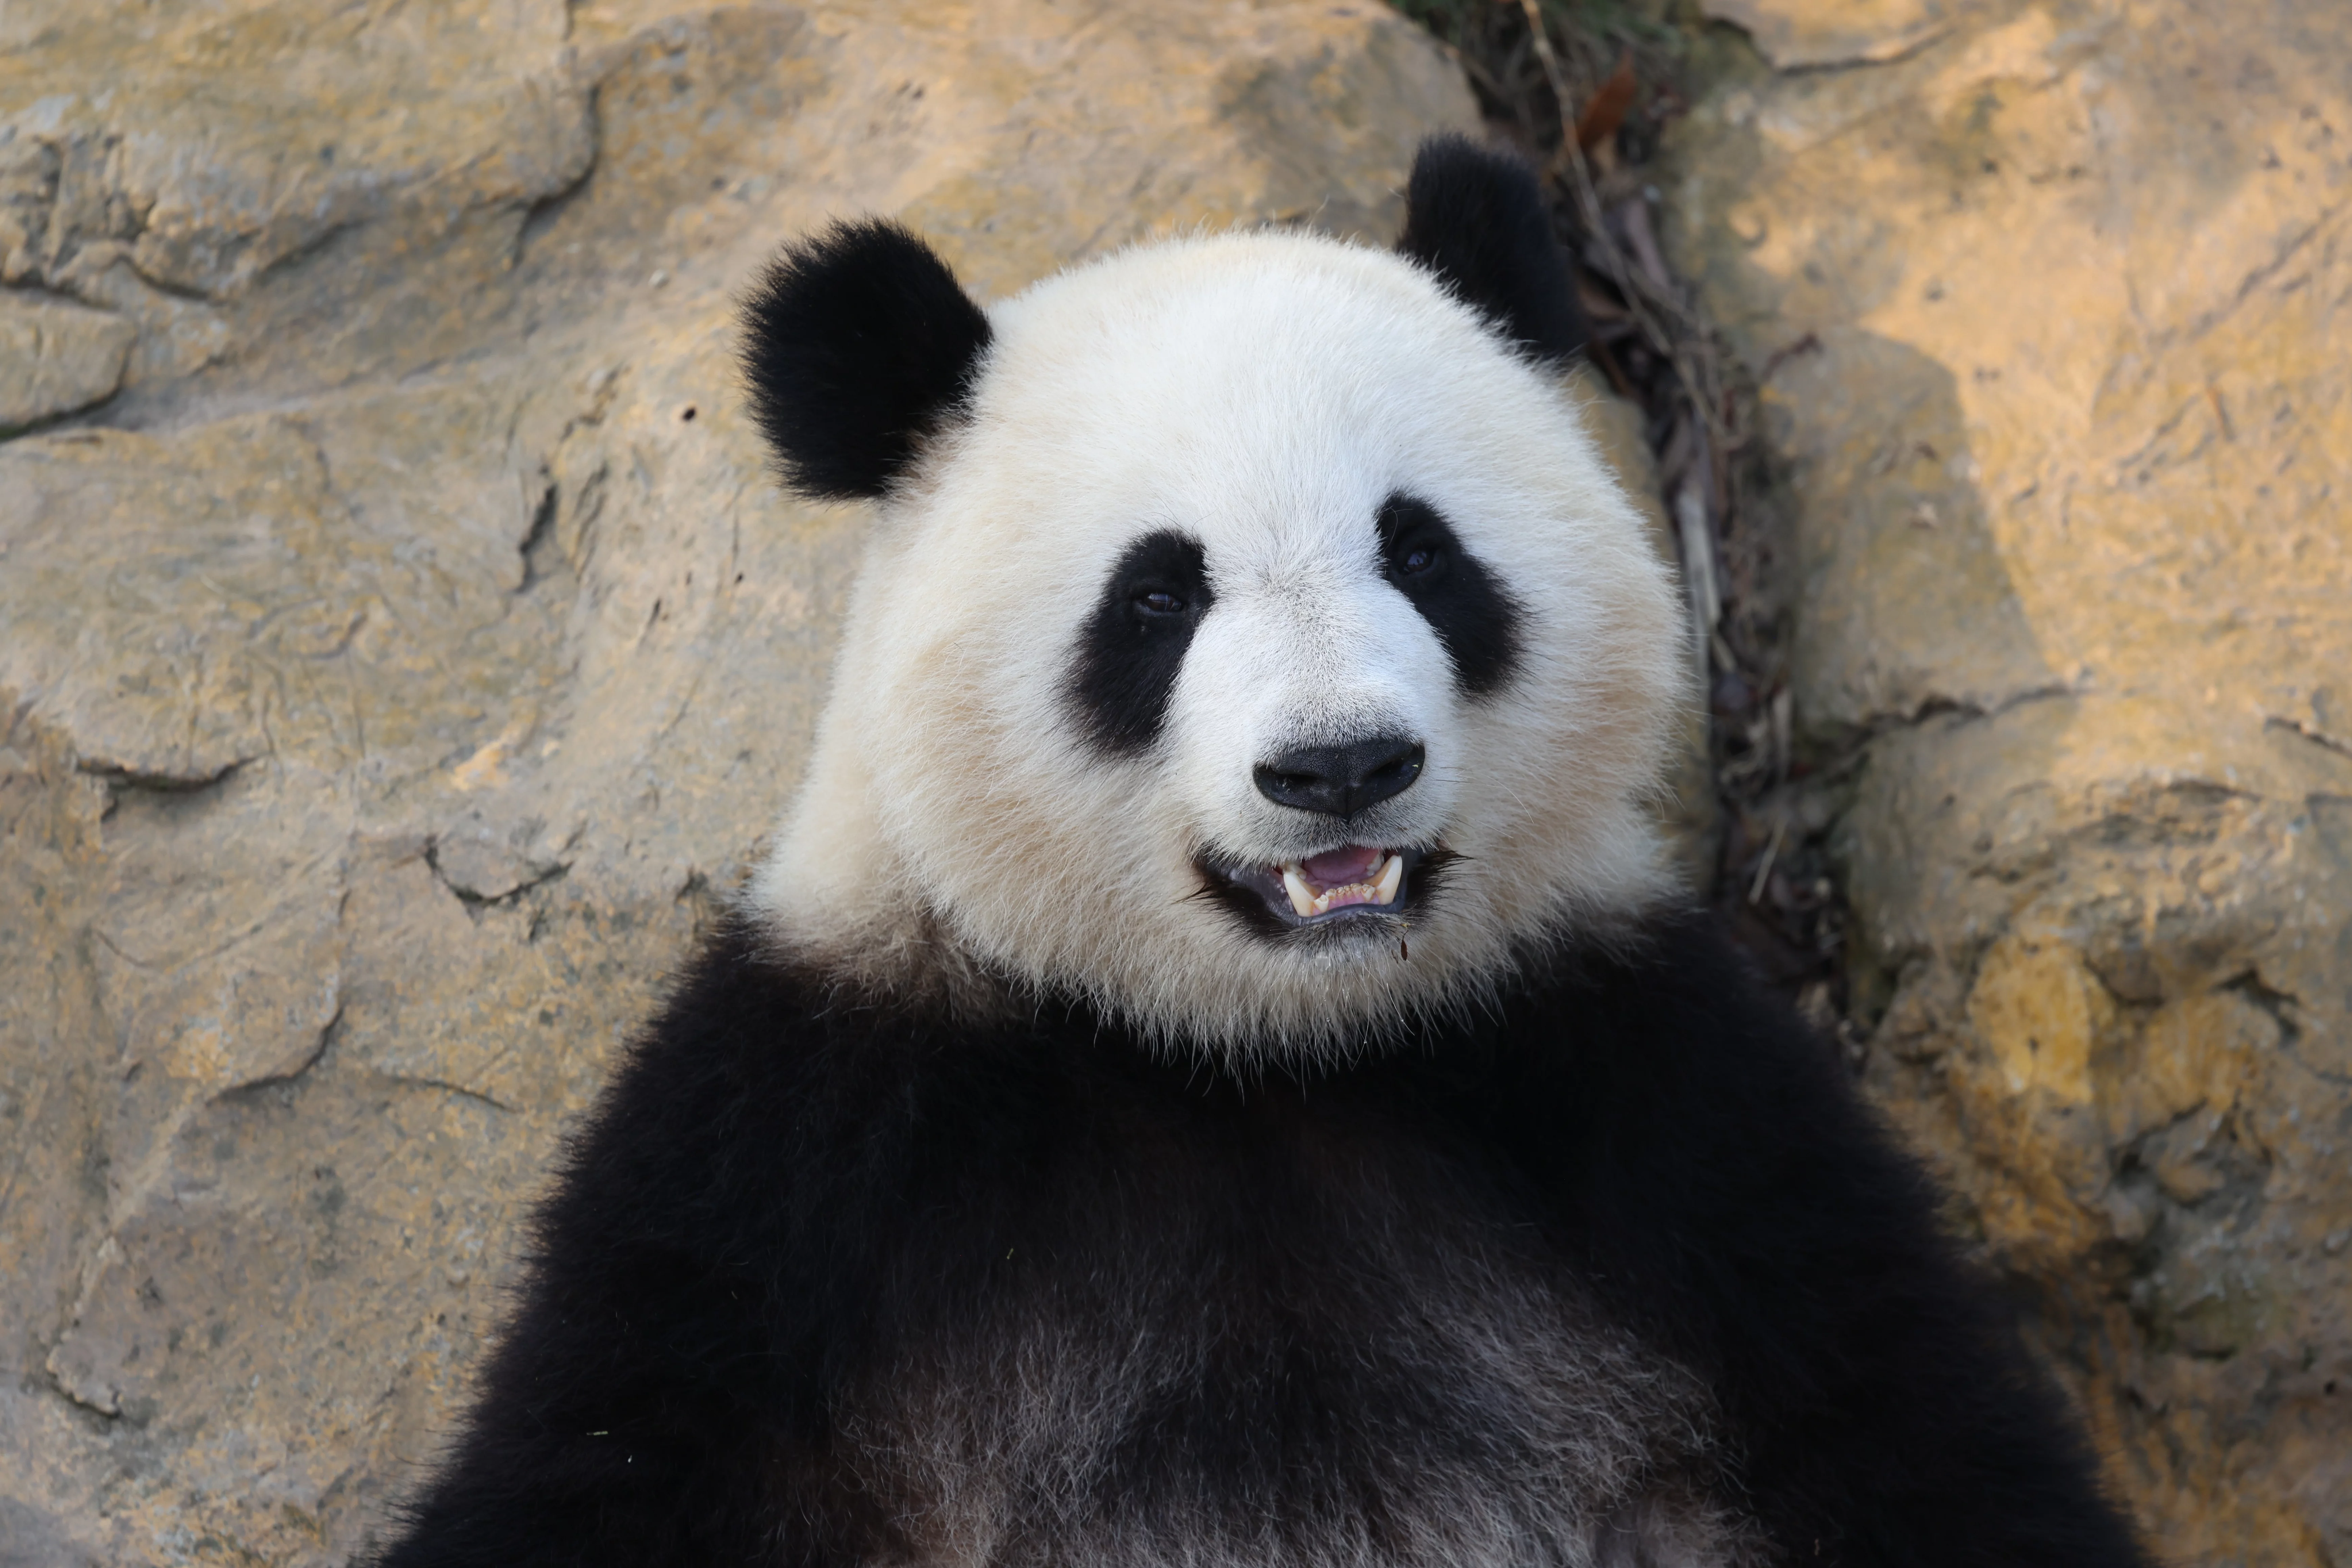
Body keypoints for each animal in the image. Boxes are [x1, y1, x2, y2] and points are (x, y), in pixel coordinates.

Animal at [379, 137, 2147, 1567]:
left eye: (1421, 552)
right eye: (1157, 597)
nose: (1339, 766)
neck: (1262, 1059)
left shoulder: (1669, 1125)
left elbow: (1906, 1435)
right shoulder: (808, 1169)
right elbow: (612, 1458)